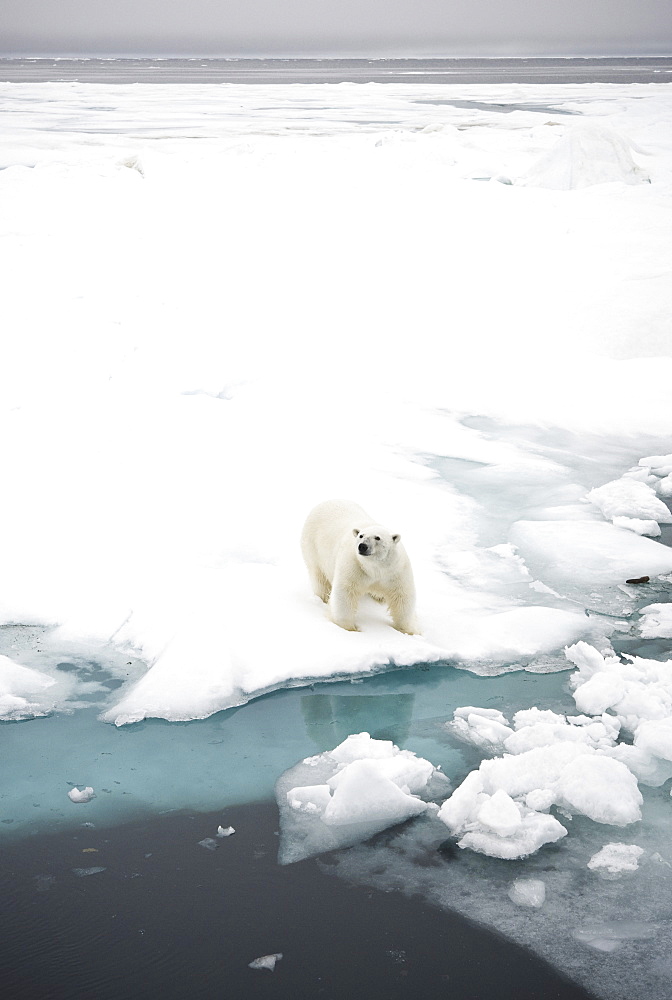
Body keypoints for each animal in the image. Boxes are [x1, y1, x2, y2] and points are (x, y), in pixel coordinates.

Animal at [302, 500, 418, 632]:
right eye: (361, 536)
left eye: (377, 537)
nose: (362, 546)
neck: (375, 568)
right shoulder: (354, 566)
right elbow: (345, 592)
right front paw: (349, 627)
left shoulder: (395, 571)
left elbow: (402, 597)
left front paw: (407, 630)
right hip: (313, 546)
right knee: (319, 576)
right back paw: (323, 598)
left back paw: (379, 598)